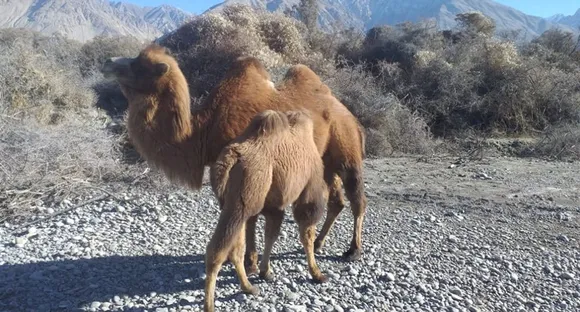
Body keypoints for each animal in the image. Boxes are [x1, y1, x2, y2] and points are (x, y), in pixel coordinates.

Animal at [97, 44, 364, 272]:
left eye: (139, 65)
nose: (107, 62)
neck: (203, 131)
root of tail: (346, 110)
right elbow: (248, 216)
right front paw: (245, 259)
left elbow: (249, 215)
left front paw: (249, 262)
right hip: (325, 160)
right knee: (336, 200)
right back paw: (318, 243)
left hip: (346, 145)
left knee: (356, 197)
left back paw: (353, 250)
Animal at [206, 109, 328, 312]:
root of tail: (230, 159)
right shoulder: (309, 190)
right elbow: (306, 233)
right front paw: (317, 274)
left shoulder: (273, 205)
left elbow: (271, 234)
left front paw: (265, 272)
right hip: (242, 202)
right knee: (217, 251)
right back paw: (210, 304)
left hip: (235, 203)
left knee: (235, 248)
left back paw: (249, 287)